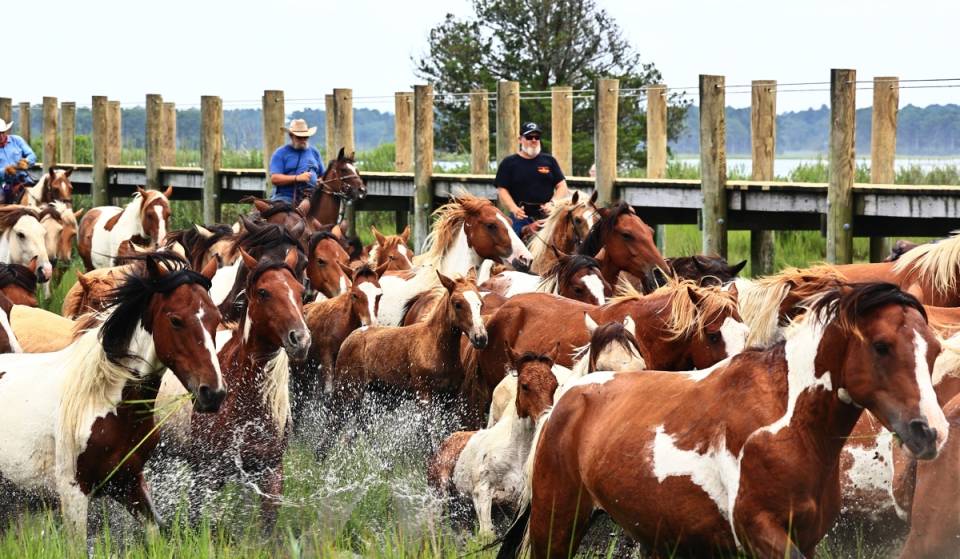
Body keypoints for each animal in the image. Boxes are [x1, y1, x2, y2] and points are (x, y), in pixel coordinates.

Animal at [0, 252, 224, 537]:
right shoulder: (73, 493)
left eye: (216, 319)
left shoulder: (130, 483)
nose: (213, 393)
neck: (101, 399)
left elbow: (156, 533)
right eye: (176, 320)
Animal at [428, 344, 560, 536]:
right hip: (439, 491)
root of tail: (447, 440)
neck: (516, 452)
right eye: (525, 385)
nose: (547, 417)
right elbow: (487, 532)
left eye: (555, 385)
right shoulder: (482, 491)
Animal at [498, 282, 948, 559]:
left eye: (934, 349)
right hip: (556, 523)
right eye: (882, 346)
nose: (931, 431)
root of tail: (568, 397)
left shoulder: (805, 537)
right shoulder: (758, 531)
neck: (789, 424)